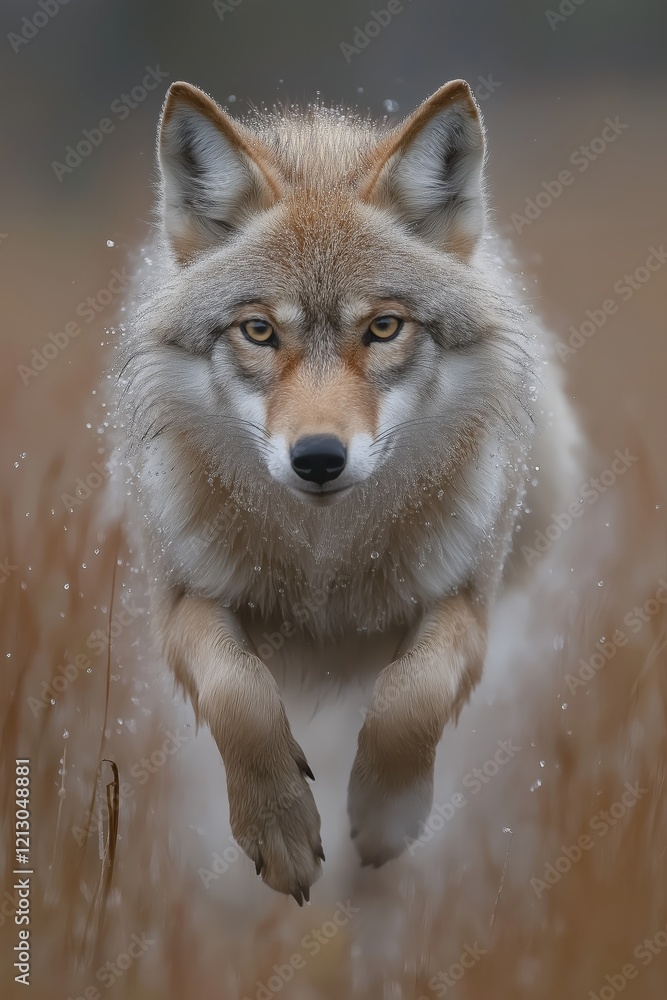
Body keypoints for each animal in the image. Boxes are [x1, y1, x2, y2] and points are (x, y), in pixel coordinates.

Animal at [114, 79, 581, 903]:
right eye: (259, 331)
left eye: (384, 328)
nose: (319, 459)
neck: (322, 568)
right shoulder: (180, 600)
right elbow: (239, 692)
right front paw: (280, 830)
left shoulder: (468, 602)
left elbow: (407, 697)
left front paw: (385, 816)